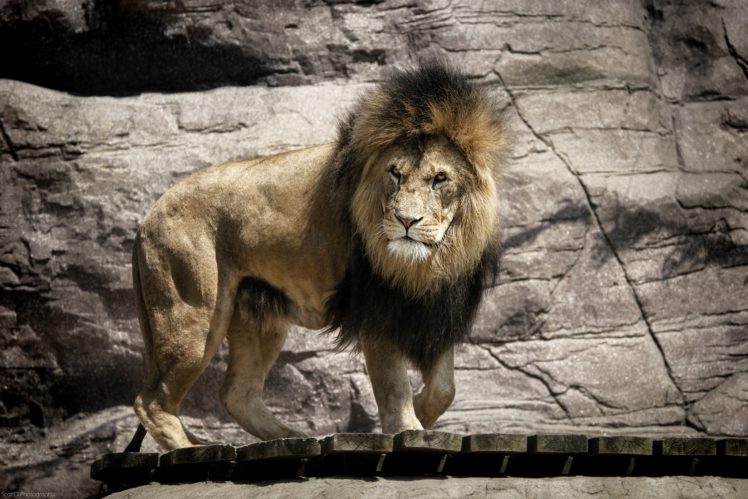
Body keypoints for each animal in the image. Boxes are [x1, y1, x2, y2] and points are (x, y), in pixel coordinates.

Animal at [127, 60, 507, 451]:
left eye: (440, 179)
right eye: (395, 174)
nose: (405, 220)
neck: (427, 264)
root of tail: (147, 218)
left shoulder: (441, 308)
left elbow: (445, 388)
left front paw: (420, 415)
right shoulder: (374, 310)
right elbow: (393, 383)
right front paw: (406, 427)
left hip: (255, 317)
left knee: (236, 394)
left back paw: (288, 437)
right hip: (192, 314)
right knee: (152, 402)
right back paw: (190, 448)